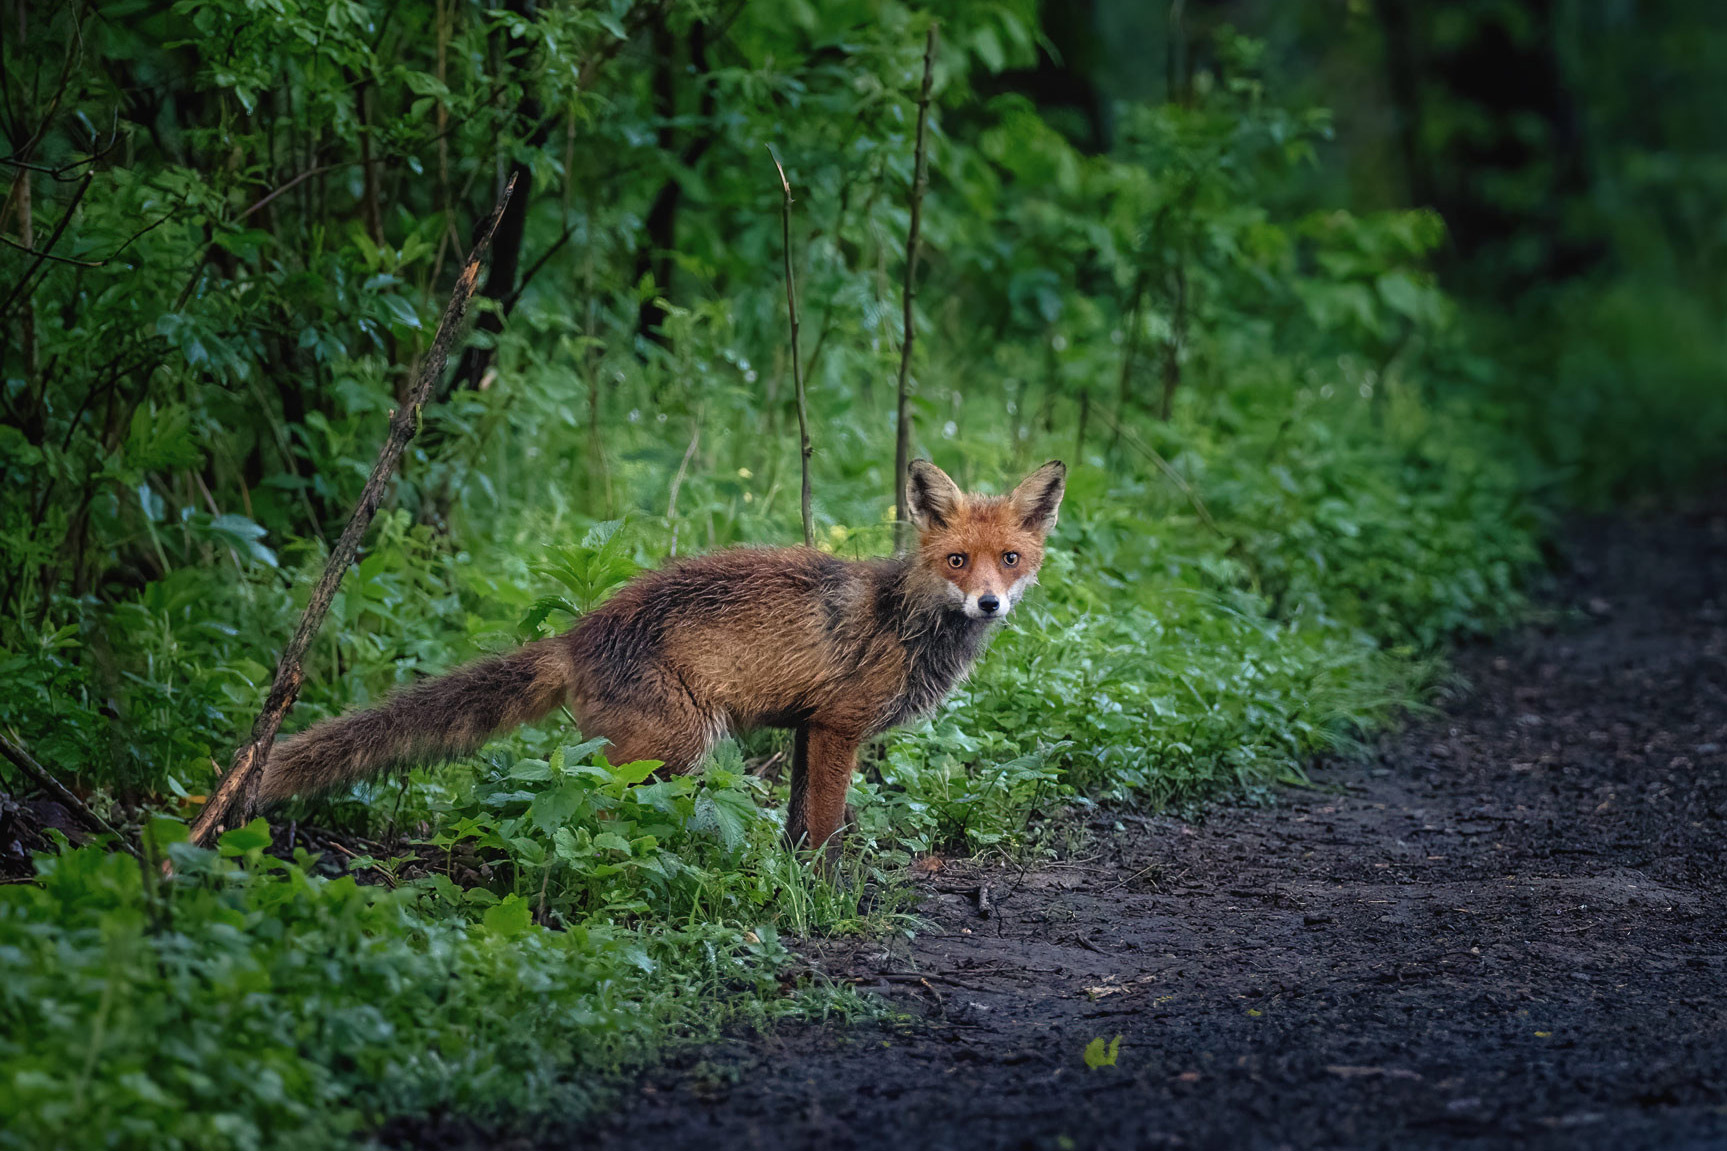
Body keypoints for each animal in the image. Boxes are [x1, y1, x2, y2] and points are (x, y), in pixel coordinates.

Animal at [259, 452, 1063, 857]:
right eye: (957, 560)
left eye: (1010, 560)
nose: (988, 604)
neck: (909, 619)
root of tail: (577, 634)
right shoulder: (840, 725)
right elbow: (827, 824)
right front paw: (824, 887)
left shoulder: (808, 728)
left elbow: (799, 819)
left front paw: (791, 874)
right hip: (674, 746)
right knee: (587, 815)